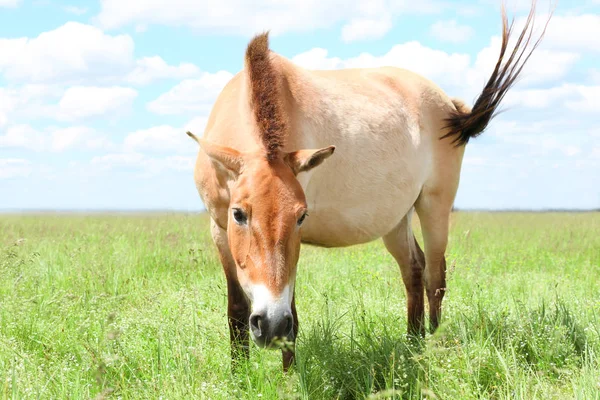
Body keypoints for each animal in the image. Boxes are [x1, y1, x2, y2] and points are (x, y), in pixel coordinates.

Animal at [185, 0, 552, 372]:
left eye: (301, 217)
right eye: (239, 214)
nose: (271, 326)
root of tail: (451, 106)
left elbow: (292, 315)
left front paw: (288, 375)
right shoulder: (219, 229)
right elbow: (236, 310)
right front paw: (240, 374)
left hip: (434, 206)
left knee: (436, 277)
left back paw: (432, 344)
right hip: (396, 219)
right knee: (414, 269)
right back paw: (413, 343)